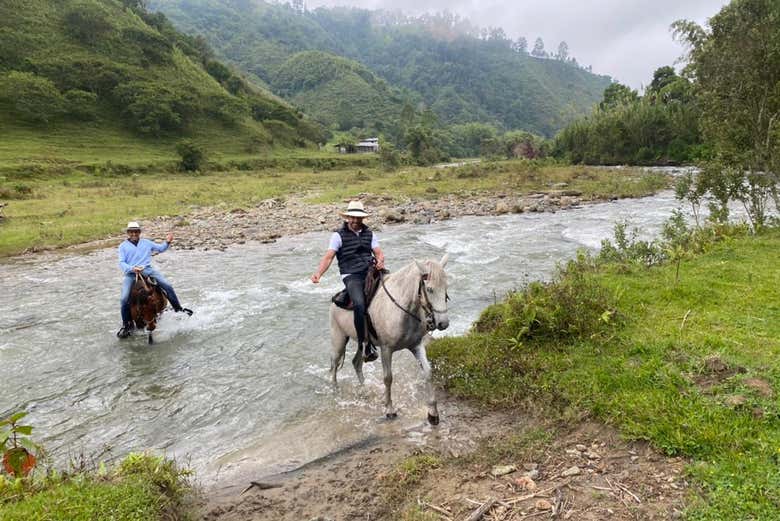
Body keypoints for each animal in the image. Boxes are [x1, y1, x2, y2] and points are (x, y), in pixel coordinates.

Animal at [330, 254, 450, 424]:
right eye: (430, 289)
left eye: (446, 287)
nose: (443, 323)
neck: (402, 309)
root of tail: (336, 300)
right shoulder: (386, 349)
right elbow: (388, 378)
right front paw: (389, 410)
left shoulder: (416, 346)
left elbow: (427, 372)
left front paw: (433, 413)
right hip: (339, 340)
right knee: (334, 366)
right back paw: (336, 392)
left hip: (362, 344)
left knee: (356, 363)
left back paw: (365, 390)